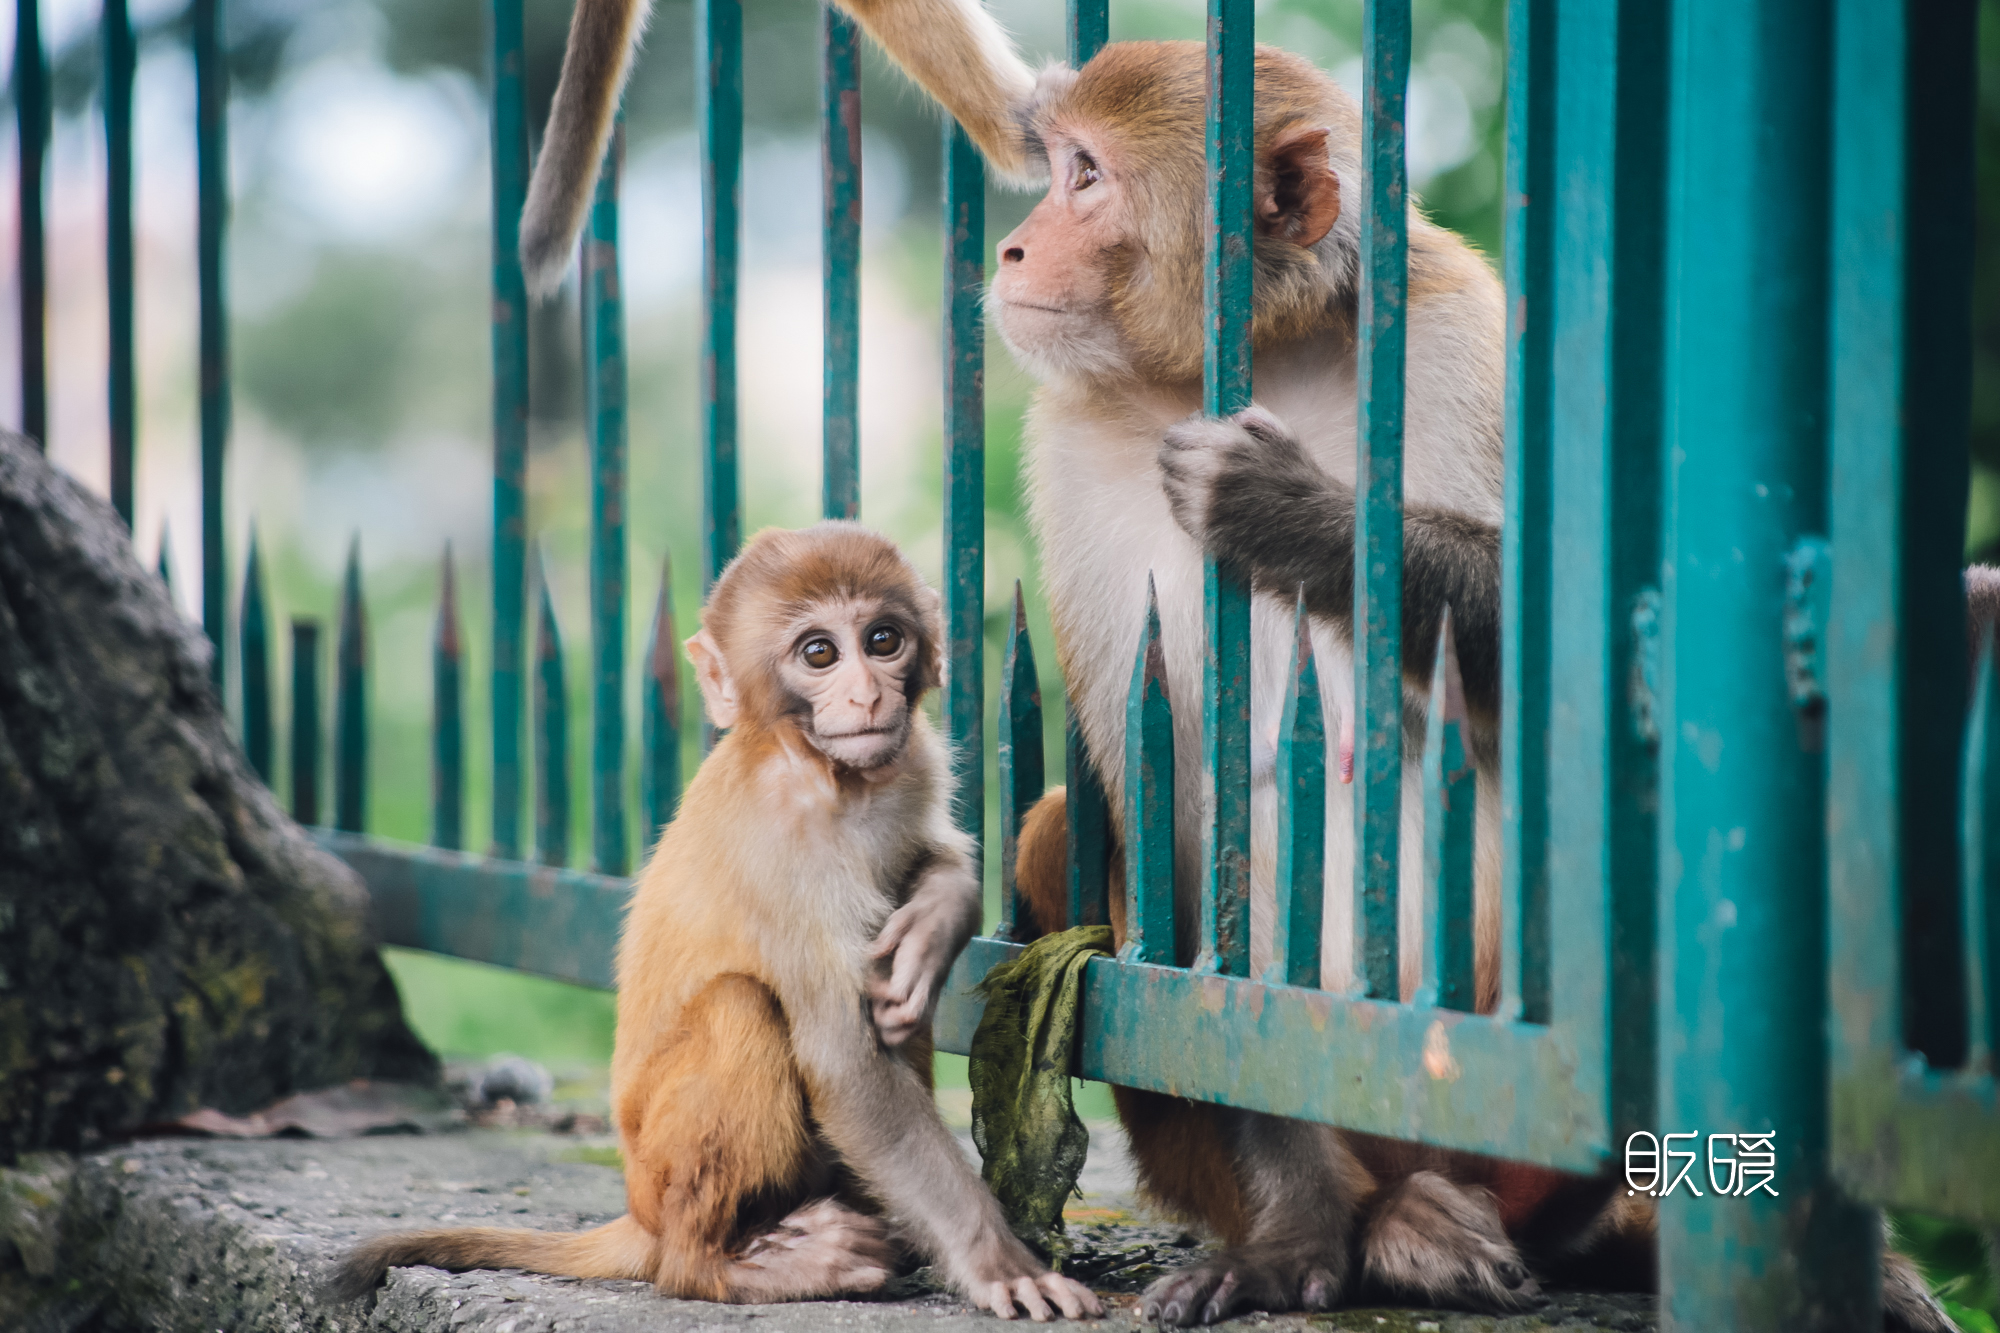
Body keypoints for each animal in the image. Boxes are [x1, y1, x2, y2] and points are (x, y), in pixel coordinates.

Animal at [334, 524, 1104, 1312]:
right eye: (819, 653)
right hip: (661, 1171)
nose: (866, 693)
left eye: (883, 638)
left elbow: (934, 856)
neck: (823, 773)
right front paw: (998, 1262)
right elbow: (846, 1061)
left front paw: (936, 920)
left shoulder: (910, 759)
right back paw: (721, 1265)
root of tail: (639, 1216)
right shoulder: (782, 854)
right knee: (742, 1006)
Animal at [512, 5, 1952, 1320]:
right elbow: (1180, 803)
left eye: (1086, 176)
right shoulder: (1073, 444)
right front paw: (1293, 1238)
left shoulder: (1459, 336)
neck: (1265, 352)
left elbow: (1566, 674)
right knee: (1069, 838)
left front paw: (1301, 517)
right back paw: (1374, 1226)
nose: (1018, 242)